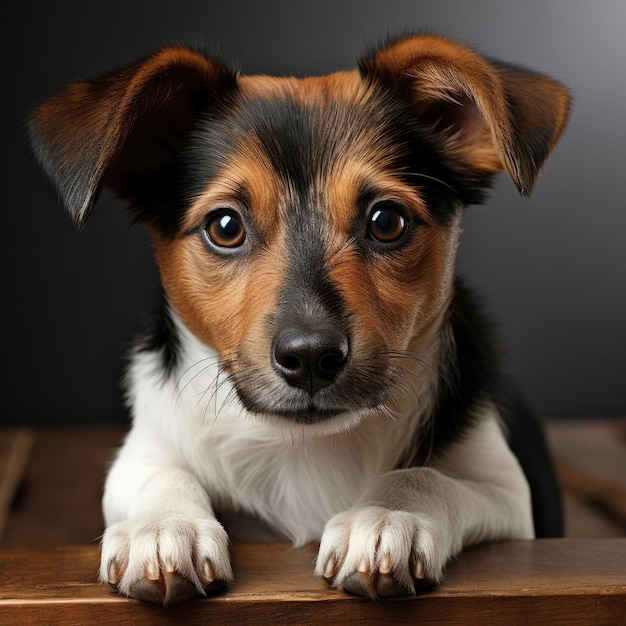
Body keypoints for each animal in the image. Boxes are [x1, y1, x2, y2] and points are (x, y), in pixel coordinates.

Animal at [29, 33, 568, 600]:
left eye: (388, 221)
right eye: (225, 227)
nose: (310, 357)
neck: (303, 445)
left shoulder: (510, 495)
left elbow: (427, 476)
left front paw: (386, 515)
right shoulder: (141, 452)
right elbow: (159, 472)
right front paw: (162, 526)